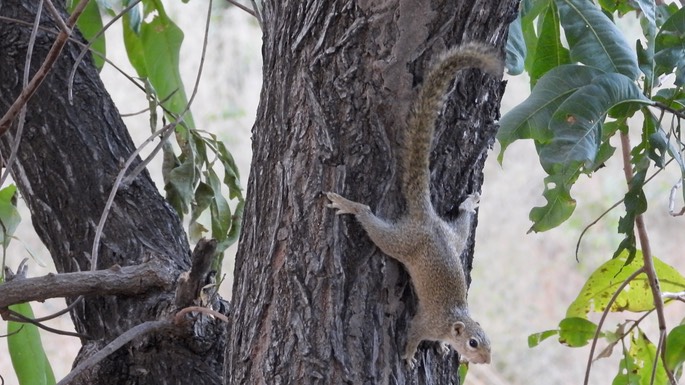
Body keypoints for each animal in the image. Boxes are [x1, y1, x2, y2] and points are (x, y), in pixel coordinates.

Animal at [326, 42, 502, 366]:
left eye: (488, 341)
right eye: (472, 343)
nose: (486, 361)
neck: (452, 320)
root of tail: (427, 218)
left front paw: (442, 347)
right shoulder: (425, 323)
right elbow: (412, 334)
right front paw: (409, 355)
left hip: (453, 238)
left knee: (460, 225)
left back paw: (469, 204)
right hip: (403, 241)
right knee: (372, 222)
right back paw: (351, 206)